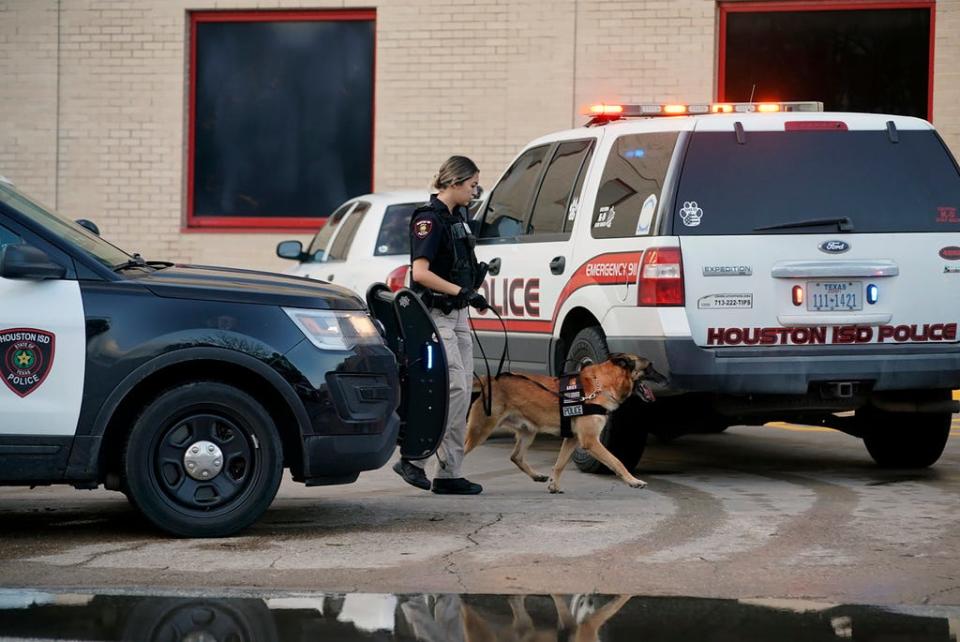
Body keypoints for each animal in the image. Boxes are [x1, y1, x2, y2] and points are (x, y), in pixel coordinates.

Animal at [466, 352, 668, 492]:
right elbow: (616, 461)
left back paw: (537, 476)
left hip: (528, 432)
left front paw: (554, 485)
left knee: (516, 456)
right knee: (460, 449)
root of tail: (491, 379)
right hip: (480, 430)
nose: (666, 379)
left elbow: (560, 463)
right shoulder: (590, 441)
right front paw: (633, 481)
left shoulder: (572, 439)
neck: (602, 385)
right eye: (650, 367)